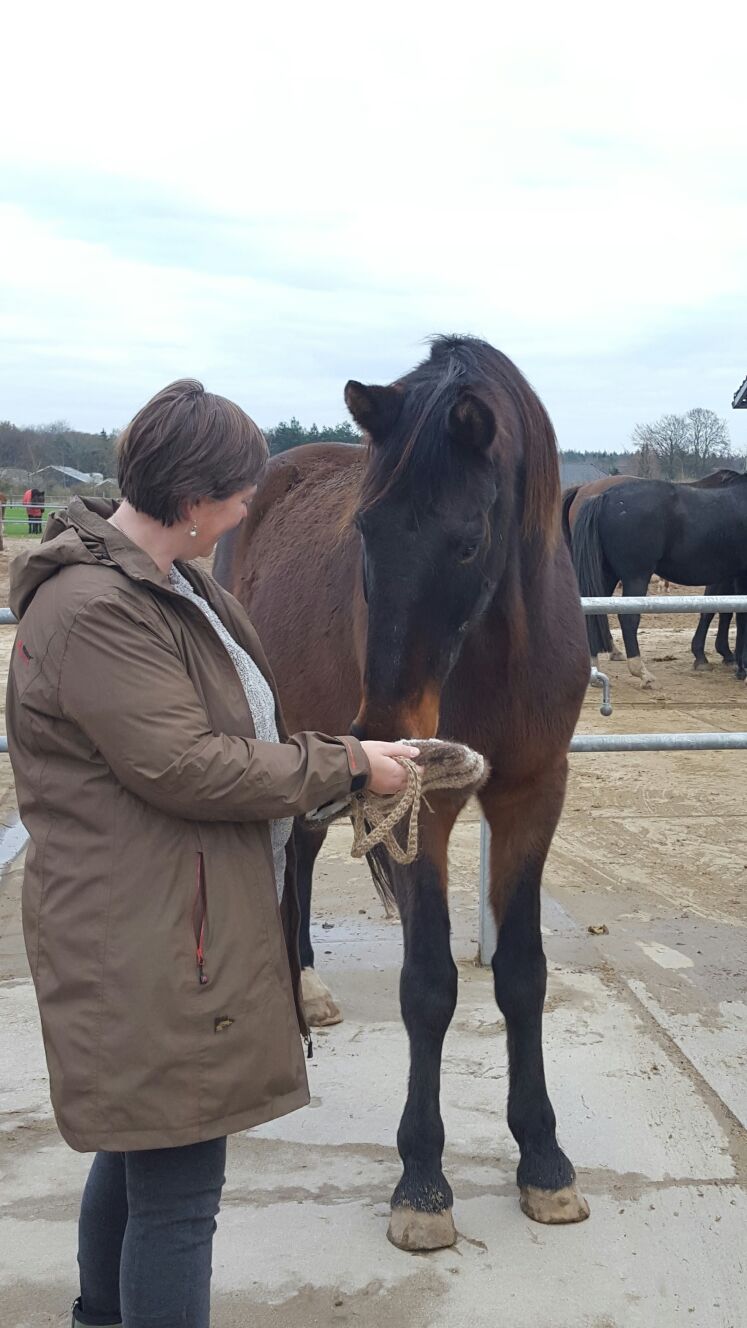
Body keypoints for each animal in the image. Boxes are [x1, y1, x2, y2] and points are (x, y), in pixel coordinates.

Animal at [215, 335, 591, 1250]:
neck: (497, 650)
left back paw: (308, 987)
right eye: (365, 530)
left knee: (304, 849)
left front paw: (543, 1159)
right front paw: (421, 1180)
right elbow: (428, 986)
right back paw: (298, 990)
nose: (384, 725)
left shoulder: (533, 795)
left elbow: (522, 973)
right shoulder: (430, 805)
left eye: (467, 541)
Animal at [570, 474, 747, 686]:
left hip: (607, 574)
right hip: (636, 576)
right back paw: (640, 671)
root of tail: (605, 496)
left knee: (594, 611)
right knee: (627, 618)